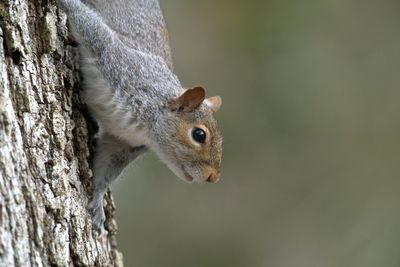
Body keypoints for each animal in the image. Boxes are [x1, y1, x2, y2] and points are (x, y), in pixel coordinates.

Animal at [55, 0, 223, 230]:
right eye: (199, 135)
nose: (212, 177)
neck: (144, 127)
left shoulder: (123, 143)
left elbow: (106, 166)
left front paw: (98, 199)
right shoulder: (116, 61)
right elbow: (88, 24)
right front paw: (62, 4)